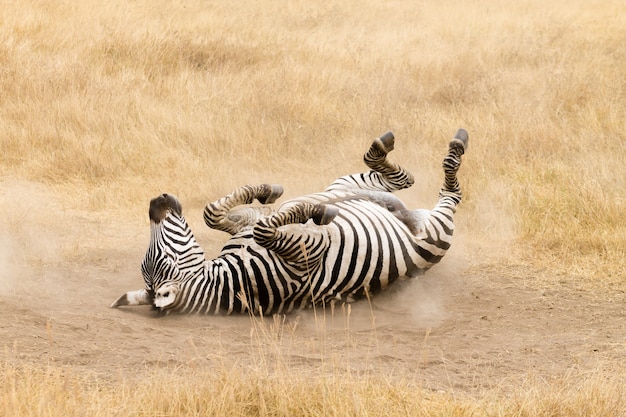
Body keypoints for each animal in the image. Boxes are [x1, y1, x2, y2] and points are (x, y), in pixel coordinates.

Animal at [109, 128, 466, 314]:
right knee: (450, 191)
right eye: (165, 259)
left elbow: (214, 213)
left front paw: (269, 191)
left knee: (396, 180)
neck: (234, 277)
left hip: (345, 184)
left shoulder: (245, 224)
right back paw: (453, 149)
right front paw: (317, 212)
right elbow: (268, 229)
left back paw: (382, 151)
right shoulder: (305, 256)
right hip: (434, 233)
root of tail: (411, 216)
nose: (156, 201)